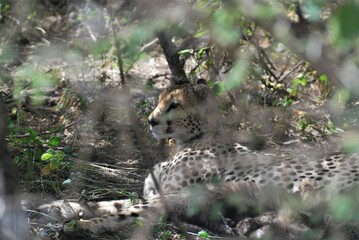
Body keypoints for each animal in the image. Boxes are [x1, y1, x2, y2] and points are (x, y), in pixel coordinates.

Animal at [35, 83, 359, 237]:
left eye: (174, 105)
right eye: (159, 100)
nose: (150, 121)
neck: (188, 140)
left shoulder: (176, 195)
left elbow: (124, 210)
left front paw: (84, 226)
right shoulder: (160, 191)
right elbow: (111, 201)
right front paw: (61, 207)